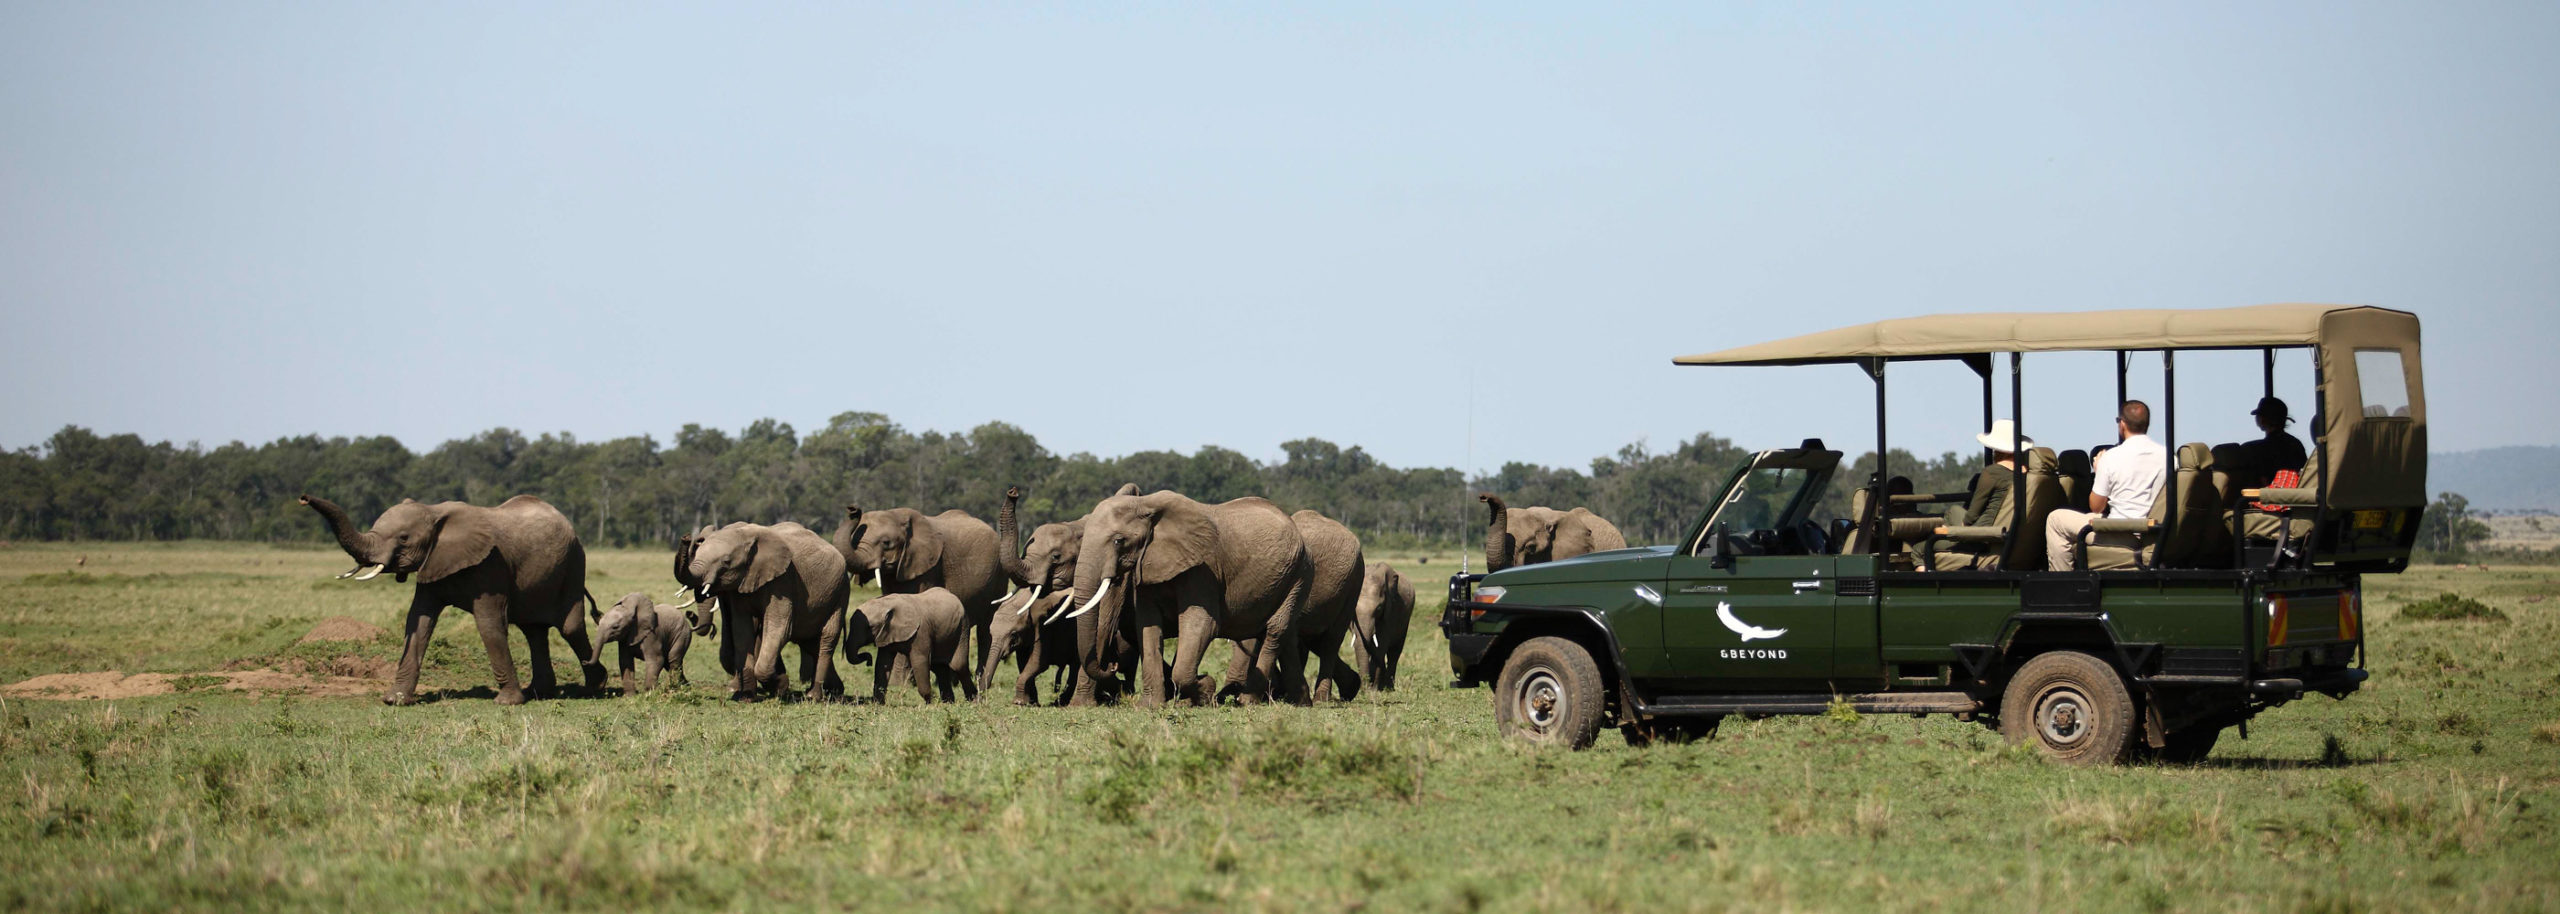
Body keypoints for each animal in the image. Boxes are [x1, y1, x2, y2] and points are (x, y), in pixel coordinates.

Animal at [301, 494, 604, 706]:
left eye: (403, 538)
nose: (303, 498)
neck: (433, 511)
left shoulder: (490, 566)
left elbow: (489, 624)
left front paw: (507, 703)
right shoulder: (433, 563)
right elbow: (419, 620)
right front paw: (394, 700)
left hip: (574, 563)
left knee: (569, 627)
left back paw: (596, 687)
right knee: (533, 631)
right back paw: (540, 692)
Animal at [685, 522, 849, 701]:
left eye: (726, 562)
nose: (689, 615)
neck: (744, 532)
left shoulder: (783, 581)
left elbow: (779, 627)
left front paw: (780, 686)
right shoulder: (738, 588)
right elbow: (741, 629)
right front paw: (745, 696)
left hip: (840, 593)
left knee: (826, 639)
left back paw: (814, 696)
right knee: (811, 643)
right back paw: (835, 690)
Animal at [831, 505, 1008, 682]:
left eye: (886, 543)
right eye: (854, 542)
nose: (853, 509)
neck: (898, 516)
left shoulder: (928, 567)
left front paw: (901, 684)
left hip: (998, 575)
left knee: (986, 627)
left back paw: (980, 679)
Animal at [844, 588, 977, 703]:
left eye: (870, 627)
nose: (868, 660)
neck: (886, 604)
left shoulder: (921, 632)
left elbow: (919, 661)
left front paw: (930, 703)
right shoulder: (887, 633)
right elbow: (882, 663)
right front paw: (878, 703)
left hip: (962, 628)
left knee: (959, 666)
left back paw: (973, 701)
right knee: (939, 668)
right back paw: (949, 703)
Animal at [1066, 489, 1312, 709]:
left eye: (1118, 540)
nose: (1113, 665)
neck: (1146, 504)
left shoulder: (1203, 570)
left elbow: (1203, 624)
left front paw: (1206, 689)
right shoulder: (1147, 567)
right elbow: (1147, 625)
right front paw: (1150, 706)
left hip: (1299, 574)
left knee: (1275, 630)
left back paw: (1247, 700)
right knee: (1282, 634)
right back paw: (1298, 702)